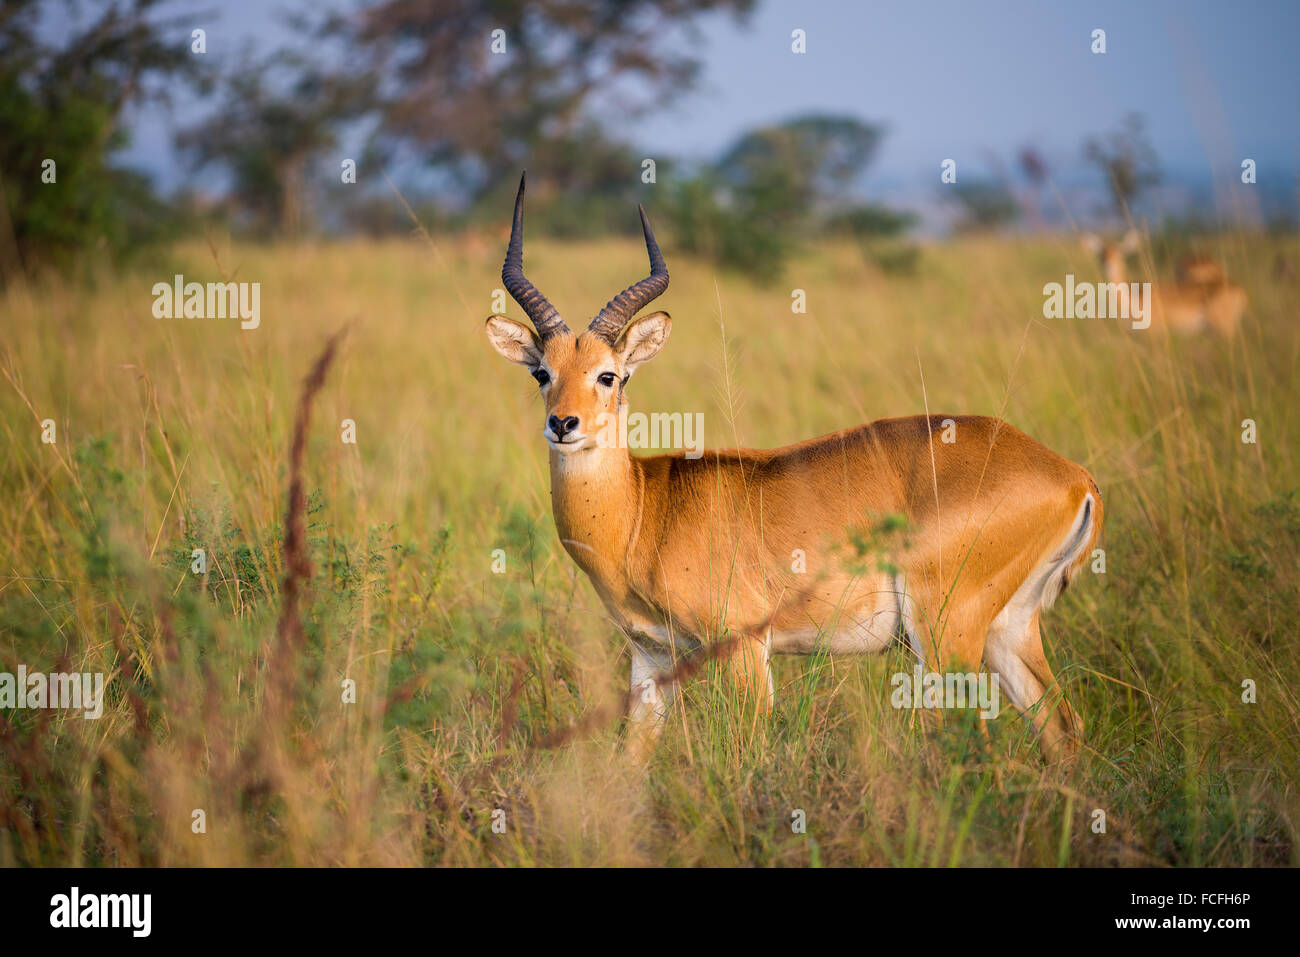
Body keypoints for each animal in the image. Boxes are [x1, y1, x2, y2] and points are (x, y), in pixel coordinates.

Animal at [488, 174, 1107, 764]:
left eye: (609, 375)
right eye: (542, 372)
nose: (563, 424)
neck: (646, 510)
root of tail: (1074, 477)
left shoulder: (741, 647)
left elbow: (751, 750)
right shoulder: (650, 657)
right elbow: (632, 761)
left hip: (945, 629)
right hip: (1010, 628)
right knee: (1063, 727)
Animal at [1076, 230, 1248, 338]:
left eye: (1120, 251)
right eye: (1101, 252)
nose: (1108, 263)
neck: (1132, 299)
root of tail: (1239, 289)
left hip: (1224, 328)